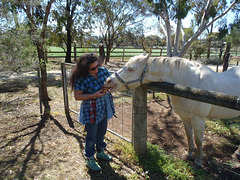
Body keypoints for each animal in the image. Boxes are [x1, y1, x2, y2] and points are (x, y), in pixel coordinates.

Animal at [104, 54, 240, 166]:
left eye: (131, 69)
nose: (108, 80)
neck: (190, 83)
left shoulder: (199, 118)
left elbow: (199, 140)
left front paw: (198, 160)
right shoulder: (185, 117)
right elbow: (189, 136)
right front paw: (189, 154)